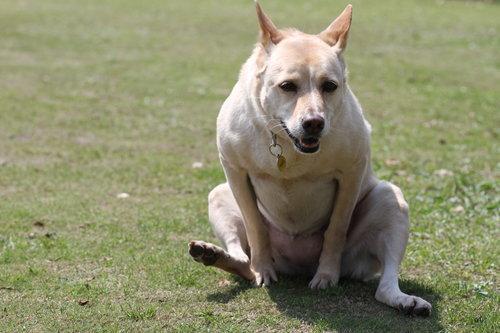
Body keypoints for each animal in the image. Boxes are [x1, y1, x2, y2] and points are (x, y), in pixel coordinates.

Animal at [189, 1, 432, 314]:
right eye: (287, 86)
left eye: (330, 86)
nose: (314, 123)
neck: (287, 145)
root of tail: (297, 265)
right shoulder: (234, 171)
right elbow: (255, 227)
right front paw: (263, 269)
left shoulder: (352, 172)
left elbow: (336, 229)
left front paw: (326, 275)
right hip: (218, 194)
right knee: (244, 262)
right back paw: (215, 256)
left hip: (391, 199)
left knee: (385, 284)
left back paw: (405, 301)